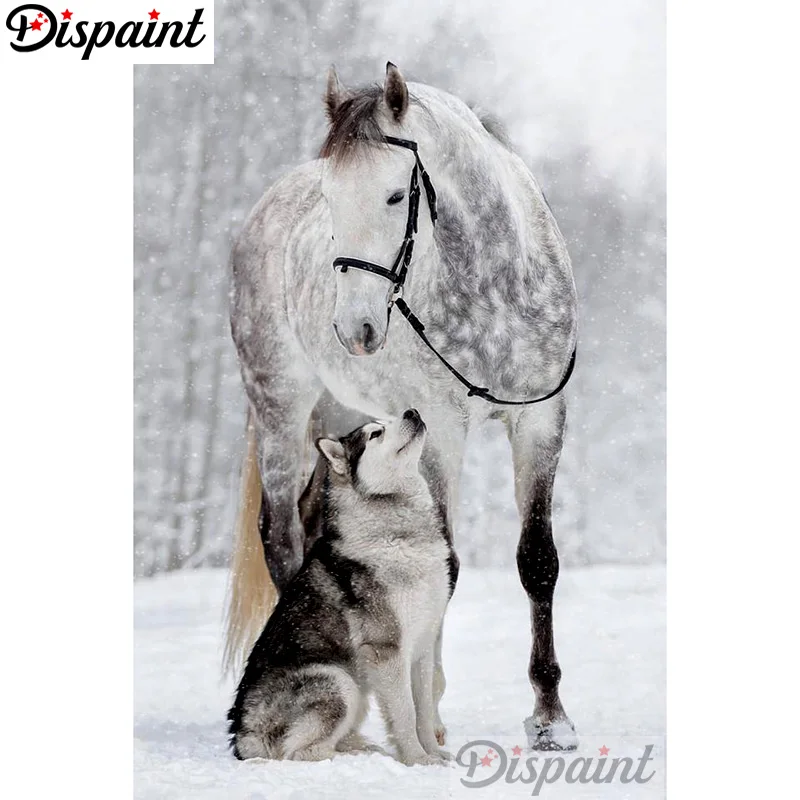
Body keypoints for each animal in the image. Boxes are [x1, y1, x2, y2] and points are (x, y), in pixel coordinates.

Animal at [227, 409, 458, 765]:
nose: (412, 411)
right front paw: (417, 761)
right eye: (376, 434)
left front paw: (433, 754)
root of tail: (242, 736)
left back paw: (360, 747)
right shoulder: (387, 649)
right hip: (339, 681)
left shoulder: (422, 645)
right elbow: (405, 712)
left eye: (390, 418)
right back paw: (352, 757)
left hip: (355, 690)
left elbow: (423, 709)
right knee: (298, 752)